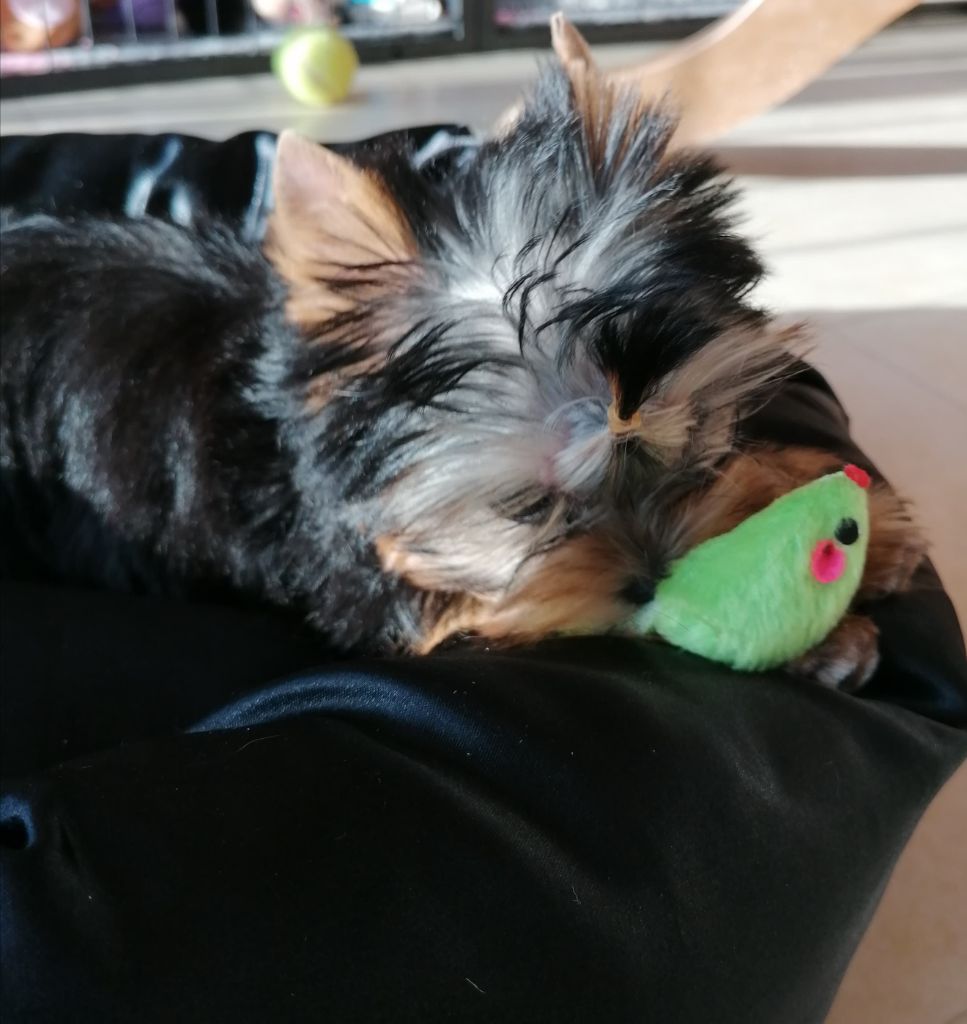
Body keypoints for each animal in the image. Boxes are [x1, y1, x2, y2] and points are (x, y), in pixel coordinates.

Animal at [0, 48, 924, 686]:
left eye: (693, 439)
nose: (654, 579)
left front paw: (863, 527)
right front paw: (820, 632)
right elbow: (509, 604)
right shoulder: (371, 583)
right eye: (526, 507)